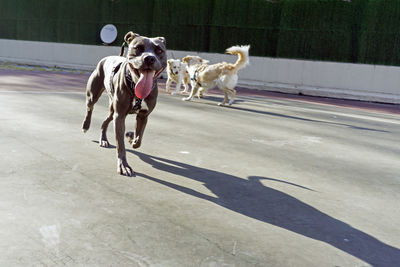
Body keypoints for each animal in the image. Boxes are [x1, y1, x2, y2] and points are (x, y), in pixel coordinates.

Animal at [82, 31, 166, 176]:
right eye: (138, 48)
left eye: (159, 50)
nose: (149, 58)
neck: (135, 84)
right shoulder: (120, 116)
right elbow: (120, 144)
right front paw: (123, 165)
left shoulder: (143, 116)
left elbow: (138, 139)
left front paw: (131, 137)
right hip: (94, 95)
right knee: (89, 107)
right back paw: (86, 126)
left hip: (112, 110)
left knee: (105, 122)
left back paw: (104, 139)